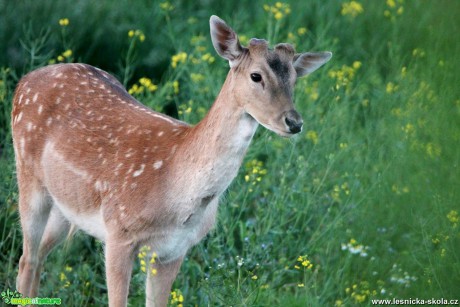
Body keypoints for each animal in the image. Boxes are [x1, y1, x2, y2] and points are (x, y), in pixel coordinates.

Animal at [11, 15, 330, 307]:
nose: (294, 122)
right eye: (256, 75)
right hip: (28, 175)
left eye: (295, 79)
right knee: (27, 259)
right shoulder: (119, 233)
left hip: (67, 205)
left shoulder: (174, 249)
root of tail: (25, 79)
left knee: (38, 256)